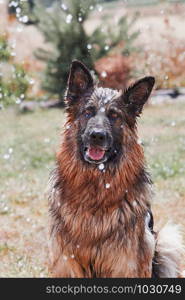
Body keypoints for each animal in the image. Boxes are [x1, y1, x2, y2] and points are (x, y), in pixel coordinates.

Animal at [48, 59, 184, 278]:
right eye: (88, 112)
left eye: (114, 116)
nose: (97, 135)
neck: (95, 188)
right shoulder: (67, 261)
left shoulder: (125, 262)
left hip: (164, 244)